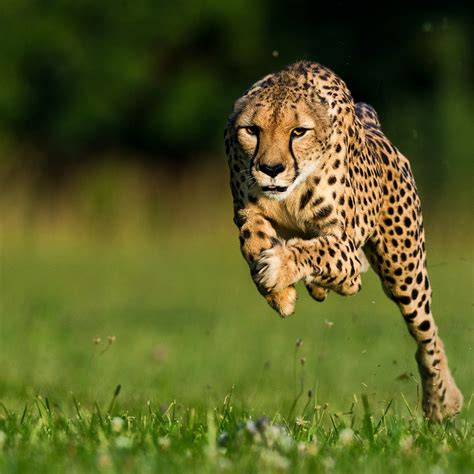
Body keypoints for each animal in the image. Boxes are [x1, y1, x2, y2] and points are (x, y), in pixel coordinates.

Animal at [225, 61, 462, 420]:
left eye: (298, 132)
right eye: (252, 130)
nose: (271, 168)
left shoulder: (344, 246)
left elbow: (318, 251)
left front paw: (279, 268)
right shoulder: (247, 211)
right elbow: (252, 240)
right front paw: (280, 294)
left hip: (403, 271)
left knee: (427, 334)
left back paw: (441, 401)